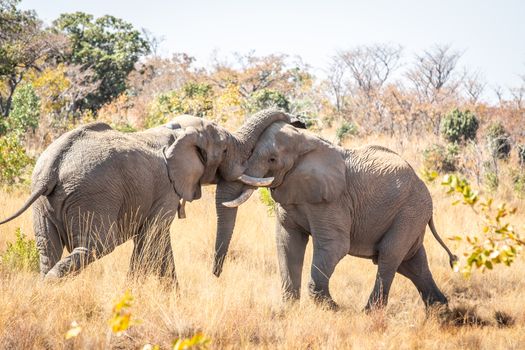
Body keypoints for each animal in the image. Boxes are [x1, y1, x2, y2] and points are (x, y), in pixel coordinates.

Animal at [219, 121, 456, 310]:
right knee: (411, 262)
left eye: (272, 159)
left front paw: (332, 308)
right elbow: (287, 241)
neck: (306, 143)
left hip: (410, 212)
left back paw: (369, 314)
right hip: (411, 215)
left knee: (389, 255)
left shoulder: (333, 200)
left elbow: (335, 245)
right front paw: (289, 309)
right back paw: (440, 311)